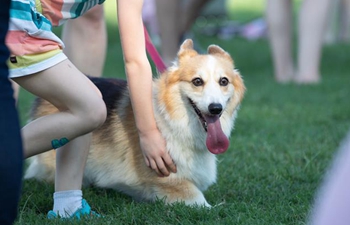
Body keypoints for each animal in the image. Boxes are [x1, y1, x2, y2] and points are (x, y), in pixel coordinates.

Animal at [24, 40, 246, 207]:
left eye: (224, 81)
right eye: (197, 81)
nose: (215, 108)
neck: (174, 122)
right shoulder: (172, 183)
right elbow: (205, 204)